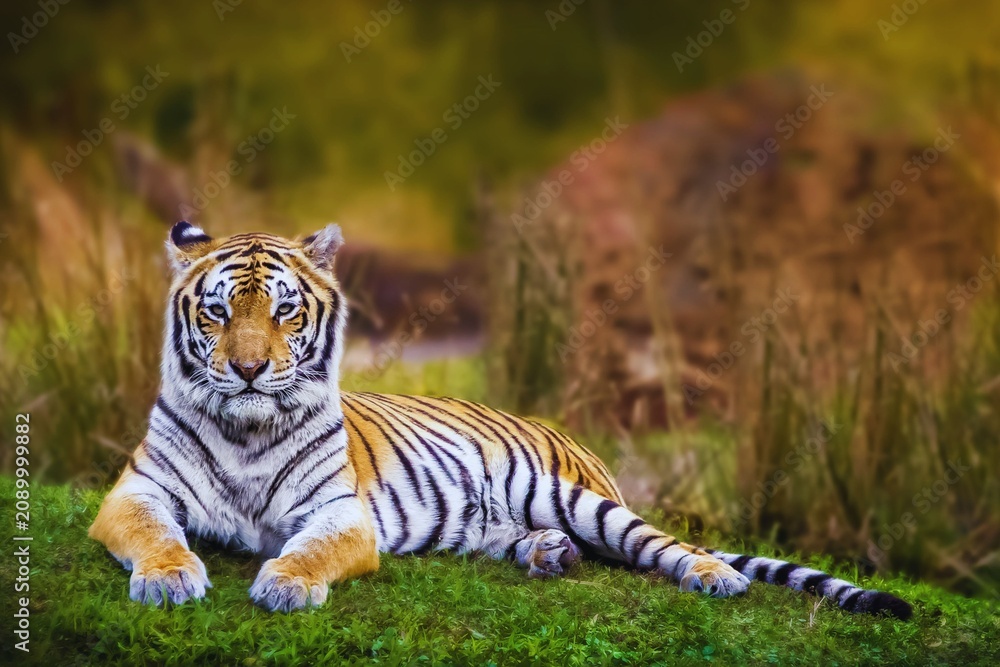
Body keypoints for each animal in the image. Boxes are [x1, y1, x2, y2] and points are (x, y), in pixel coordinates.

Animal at [89, 221, 912, 620]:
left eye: (285, 310)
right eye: (219, 311)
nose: (251, 369)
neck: (247, 429)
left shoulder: (339, 512)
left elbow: (312, 549)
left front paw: (286, 584)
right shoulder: (133, 492)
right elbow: (156, 534)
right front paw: (169, 579)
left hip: (573, 495)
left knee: (662, 544)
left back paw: (714, 576)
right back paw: (547, 555)